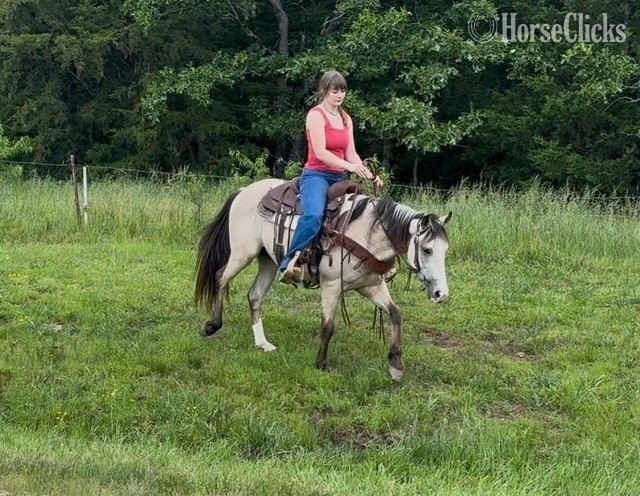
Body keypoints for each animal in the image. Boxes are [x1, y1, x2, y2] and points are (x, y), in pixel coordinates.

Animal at [195, 178, 451, 381]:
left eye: (445, 250)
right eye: (427, 249)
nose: (442, 294)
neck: (365, 233)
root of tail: (244, 190)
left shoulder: (371, 285)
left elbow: (396, 314)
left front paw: (396, 363)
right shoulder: (332, 285)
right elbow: (328, 326)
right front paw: (321, 363)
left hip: (268, 260)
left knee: (254, 296)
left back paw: (262, 343)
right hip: (242, 253)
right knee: (220, 278)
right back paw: (211, 326)